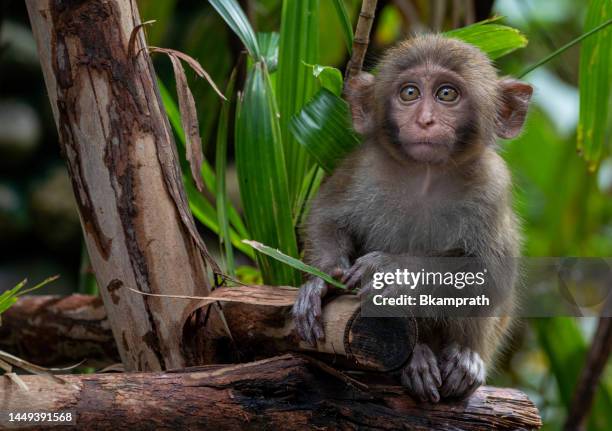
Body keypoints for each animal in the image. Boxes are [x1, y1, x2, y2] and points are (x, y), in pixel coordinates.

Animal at [292, 35, 532, 404]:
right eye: (409, 93)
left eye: (446, 94)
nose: (425, 120)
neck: (426, 176)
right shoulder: (363, 166)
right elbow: (326, 218)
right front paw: (320, 282)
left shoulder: (492, 185)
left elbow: (488, 271)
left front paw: (391, 270)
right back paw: (416, 357)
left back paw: (464, 358)